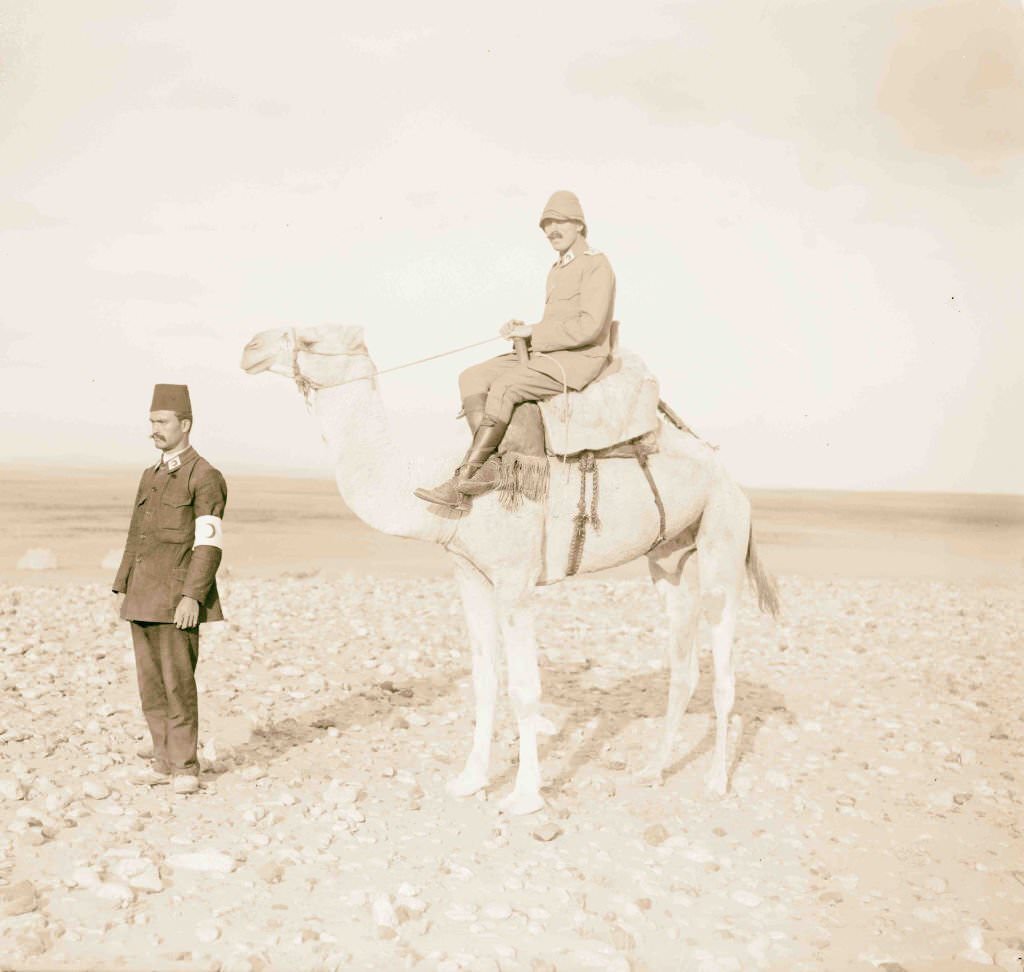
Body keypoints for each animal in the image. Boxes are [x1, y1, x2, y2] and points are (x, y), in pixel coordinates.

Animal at [241, 323, 782, 811]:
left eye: (309, 339)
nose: (250, 346)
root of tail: (728, 475)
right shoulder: (471, 574)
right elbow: (485, 681)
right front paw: (469, 780)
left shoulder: (515, 579)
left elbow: (525, 688)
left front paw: (525, 795)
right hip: (668, 556)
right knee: (683, 667)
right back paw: (653, 769)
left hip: (722, 535)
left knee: (724, 669)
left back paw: (716, 782)